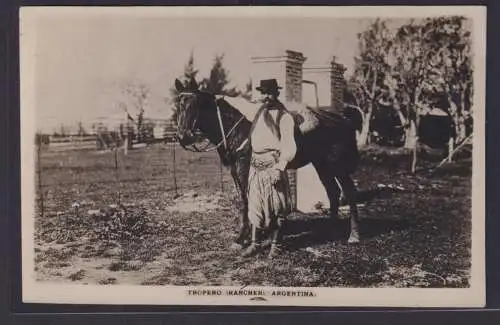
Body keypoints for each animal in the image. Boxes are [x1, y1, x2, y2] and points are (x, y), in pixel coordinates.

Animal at [174, 77, 362, 247]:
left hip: (337, 165)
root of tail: (344, 120)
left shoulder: (243, 166)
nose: (183, 137)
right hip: (322, 165)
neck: (234, 127)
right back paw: (330, 229)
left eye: (196, 104)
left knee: (349, 192)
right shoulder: (235, 169)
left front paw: (243, 237)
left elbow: (246, 199)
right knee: (333, 192)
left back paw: (353, 235)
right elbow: (243, 199)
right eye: (179, 104)